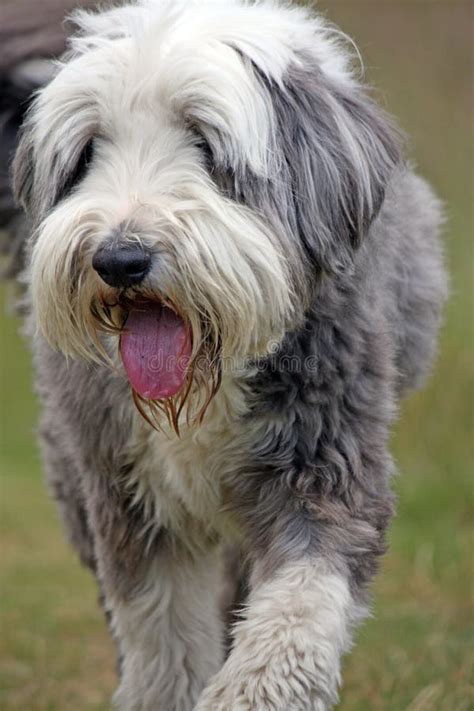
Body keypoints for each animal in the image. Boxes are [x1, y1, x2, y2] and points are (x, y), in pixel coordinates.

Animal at [8, 1, 448, 711]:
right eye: (89, 150)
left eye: (204, 142)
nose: (119, 259)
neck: (204, 381)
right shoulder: (132, 493)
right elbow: (162, 637)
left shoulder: (325, 462)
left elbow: (295, 615)